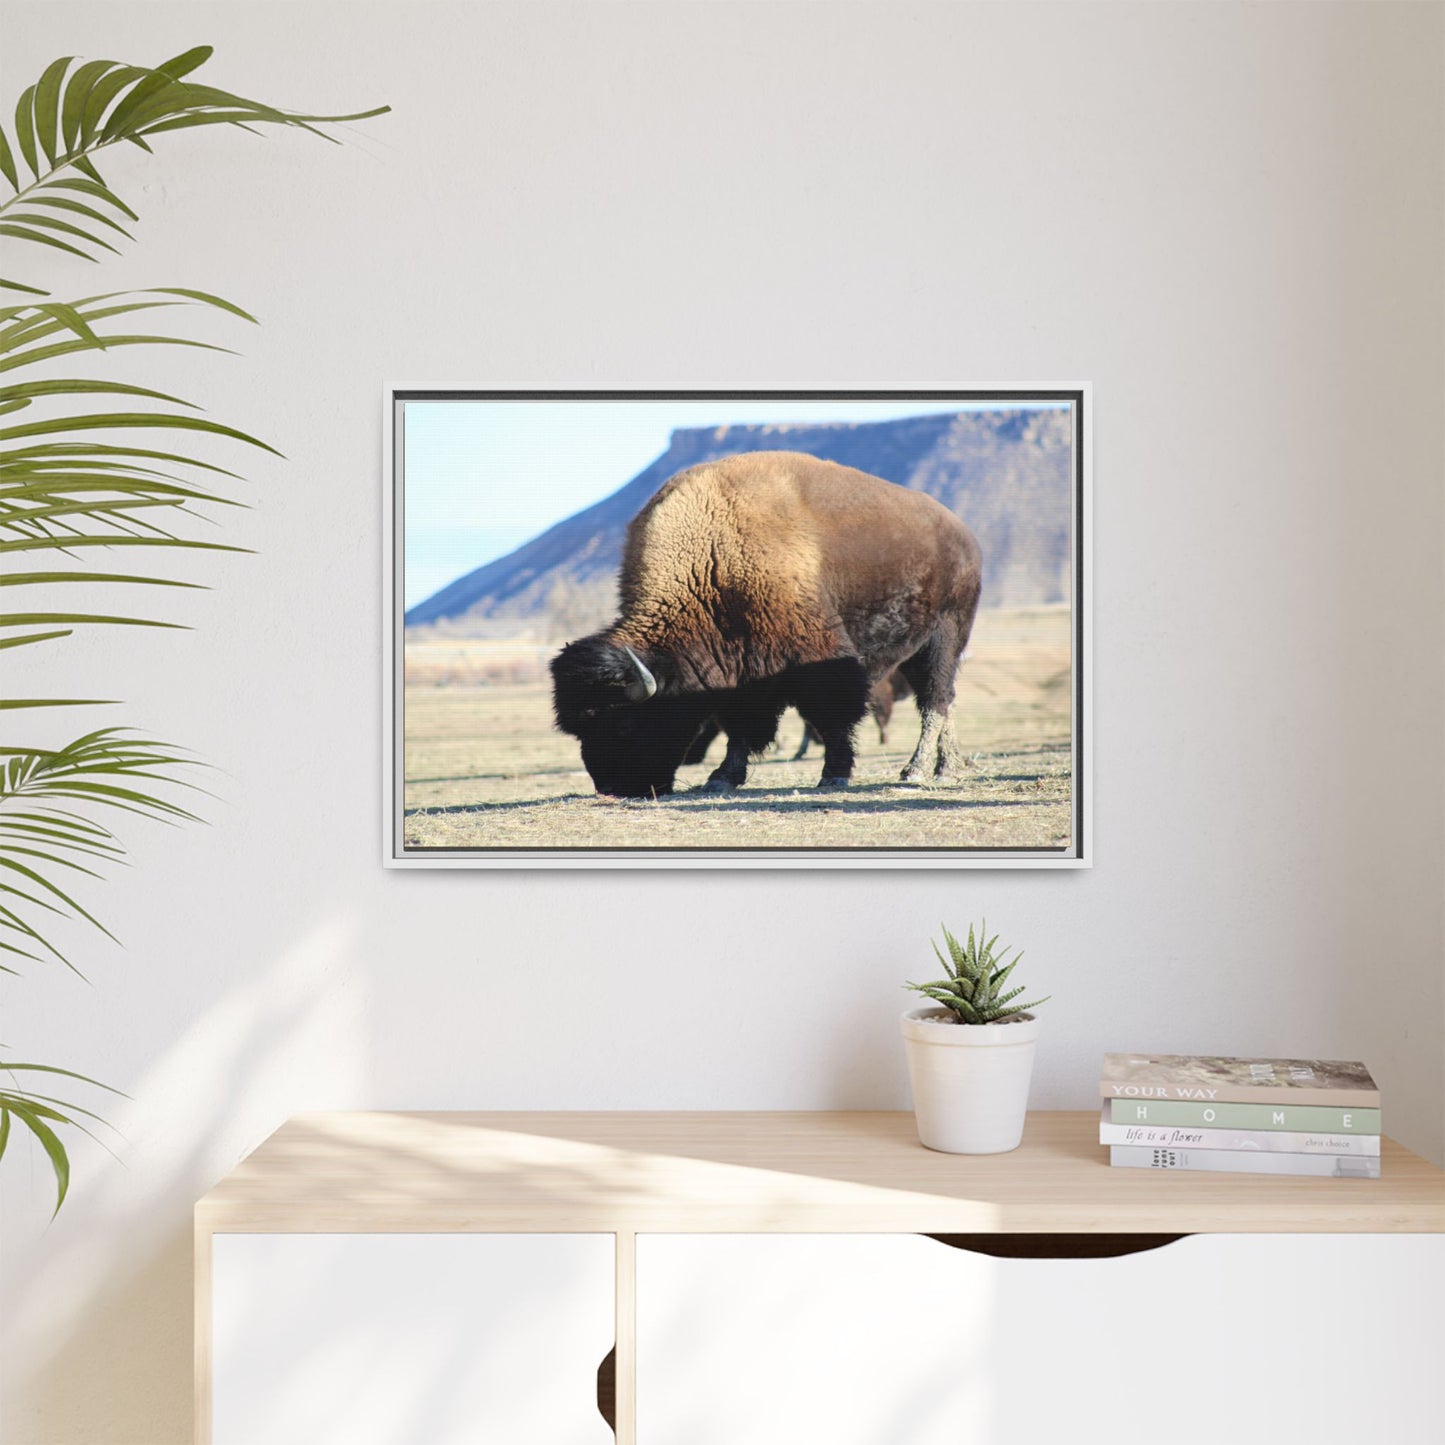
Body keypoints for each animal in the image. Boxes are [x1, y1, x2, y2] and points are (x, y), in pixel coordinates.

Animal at [550, 451, 982, 798]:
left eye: (623, 724)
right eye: (580, 731)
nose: (612, 787)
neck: (711, 558)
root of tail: (962, 534)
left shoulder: (818, 657)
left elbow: (833, 715)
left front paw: (834, 775)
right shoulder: (741, 670)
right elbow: (740, 726)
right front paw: (721, 778)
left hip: (945, 636)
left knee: (935, 699)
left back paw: (920, 771)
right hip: (918, 648)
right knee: (942, 700)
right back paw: (947, 766)